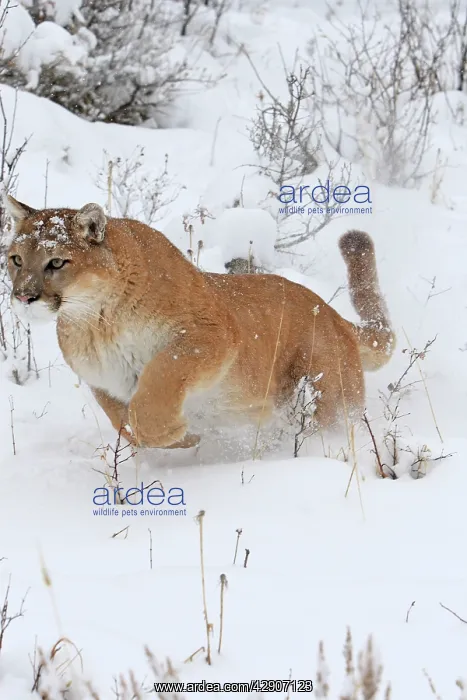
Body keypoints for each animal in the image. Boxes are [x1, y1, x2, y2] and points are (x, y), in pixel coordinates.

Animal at [5, 196, 394, 449]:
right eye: (16, 259)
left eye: (56, 262)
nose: (23, 296)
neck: (96, 323)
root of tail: (331, 313)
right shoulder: (102, 380)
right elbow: (121, 419)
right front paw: (183, 436)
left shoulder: (212, 334)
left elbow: (161, 375)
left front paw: (168, 428)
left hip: (329, 395)